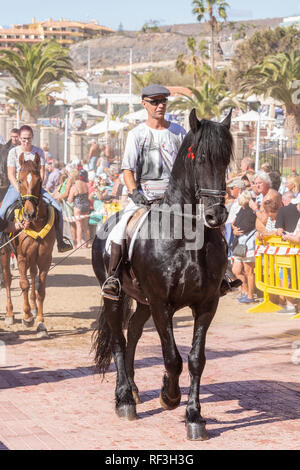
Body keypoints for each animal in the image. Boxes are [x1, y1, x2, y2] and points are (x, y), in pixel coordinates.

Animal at [0, 152, 56, 336]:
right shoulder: (22, 257)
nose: (29, 214)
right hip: (5, 253)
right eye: (19, 180)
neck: (35, 224)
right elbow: (23, 284)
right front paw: (26, 316)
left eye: (39, 180)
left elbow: (40, 289)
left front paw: (40, 322)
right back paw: (10, 313)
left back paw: (32, 307)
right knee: (8, 279)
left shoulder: (45, 258)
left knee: (32, 276)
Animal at [92, 109, 233, 440]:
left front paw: (195, 417)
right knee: (118, 340)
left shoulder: (206, 305)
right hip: (116, 297)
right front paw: (169, 395)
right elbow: (172, 358)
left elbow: (195, 360)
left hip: (142, 302)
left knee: (133, 332)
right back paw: (124, 399)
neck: (185, 235)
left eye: (226, 160)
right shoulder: (161, 304)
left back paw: (133, 387)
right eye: (201, 157)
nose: (216, 216)